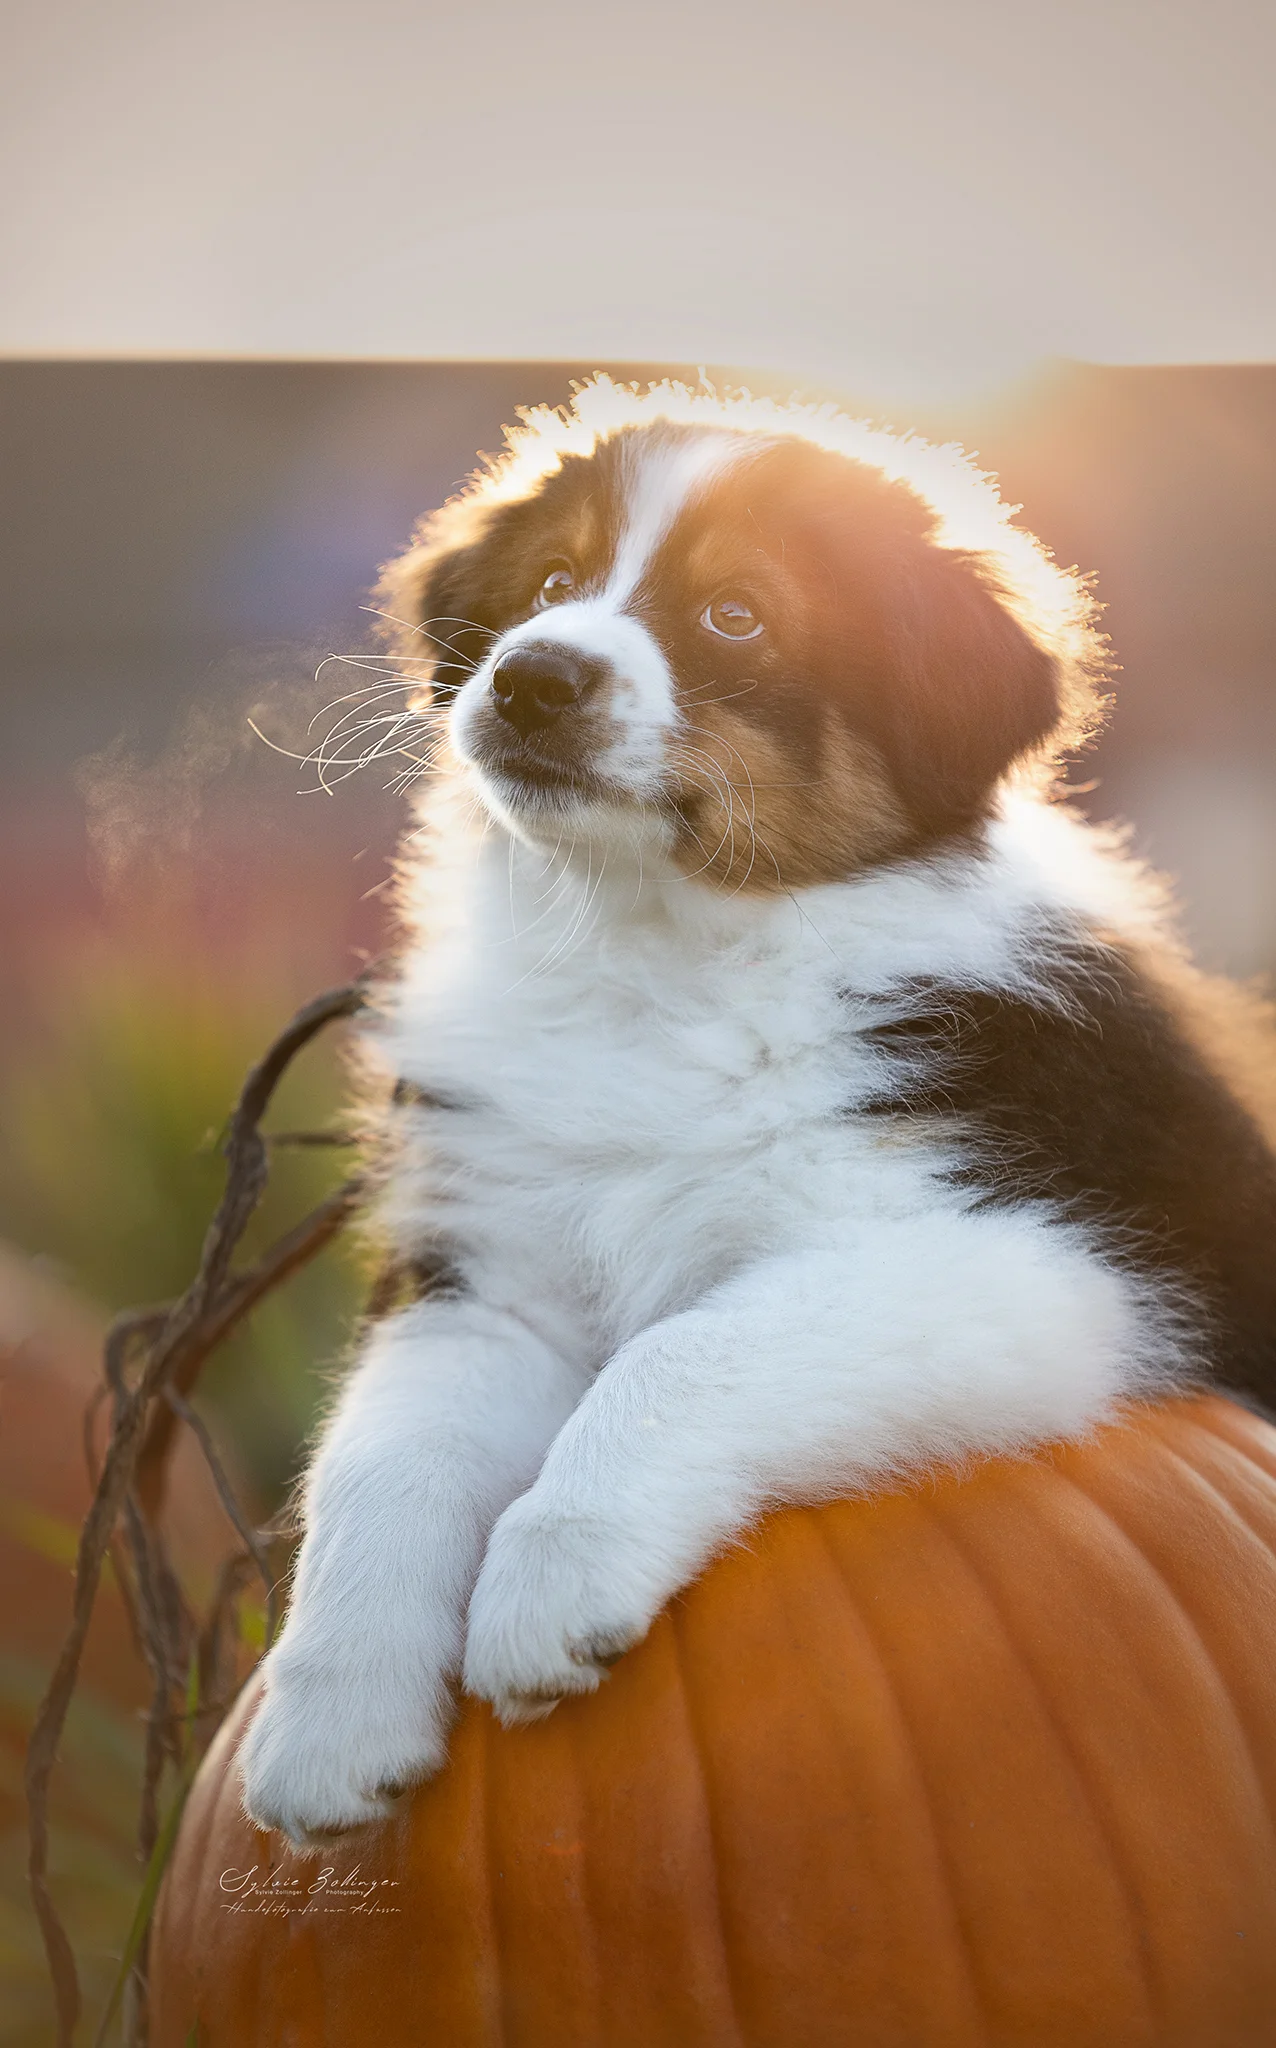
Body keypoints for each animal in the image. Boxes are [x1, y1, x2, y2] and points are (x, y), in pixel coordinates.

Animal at [239, 376, 1276, 1851]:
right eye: (549, 582)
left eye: (737, 615)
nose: (533, 674)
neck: (656, 957)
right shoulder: (490, 1273)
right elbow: (380, 1453)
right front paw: (328, 1723)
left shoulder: (1042, 1260)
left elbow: (684, 1351)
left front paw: (549, 1583)